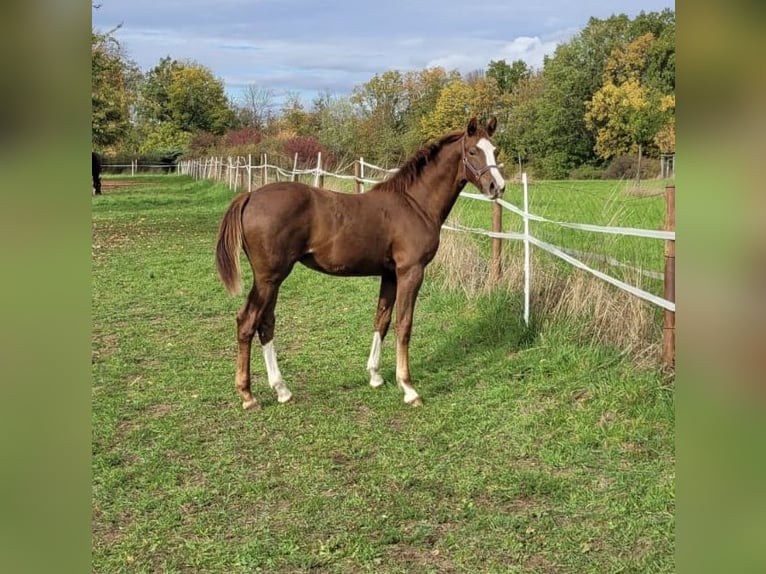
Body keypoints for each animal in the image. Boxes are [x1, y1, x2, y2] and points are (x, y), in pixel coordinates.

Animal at [216, 116, 508, 410]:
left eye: (495, 150)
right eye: (473, 151)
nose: (497, 187)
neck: (414, 204)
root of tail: (250, 196)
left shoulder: (390, 274)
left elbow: (382, 319)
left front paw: (375, 376)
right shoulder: (411, 272)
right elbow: (404, 324)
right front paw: (408, 388)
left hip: (272, 279)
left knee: (266, 324)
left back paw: (282, 390)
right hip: (269, 278)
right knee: (247, 322)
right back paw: (248, 396)